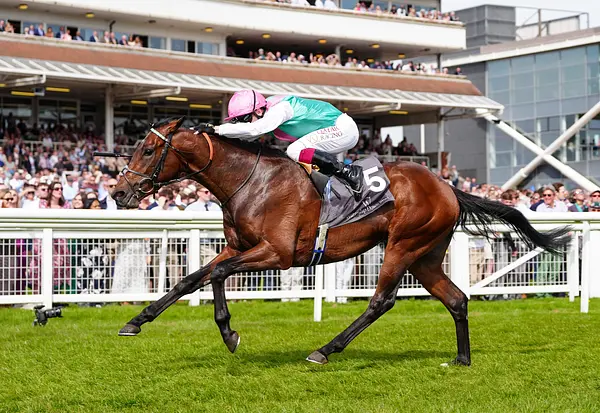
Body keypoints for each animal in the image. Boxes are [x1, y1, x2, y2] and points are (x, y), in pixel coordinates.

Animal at [110, 116, 570, 366]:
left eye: (147, 150)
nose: (119, 193)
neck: (250, 180)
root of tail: (447, 186)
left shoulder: (276, 254)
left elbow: (219, 274)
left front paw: (229, 333)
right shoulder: (240, 247)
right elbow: (191, 279)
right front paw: (135, 321)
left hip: (403, 245)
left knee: (381, 301)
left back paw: (325, 349)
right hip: (425, 255)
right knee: (456, 299)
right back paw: (461, 358)